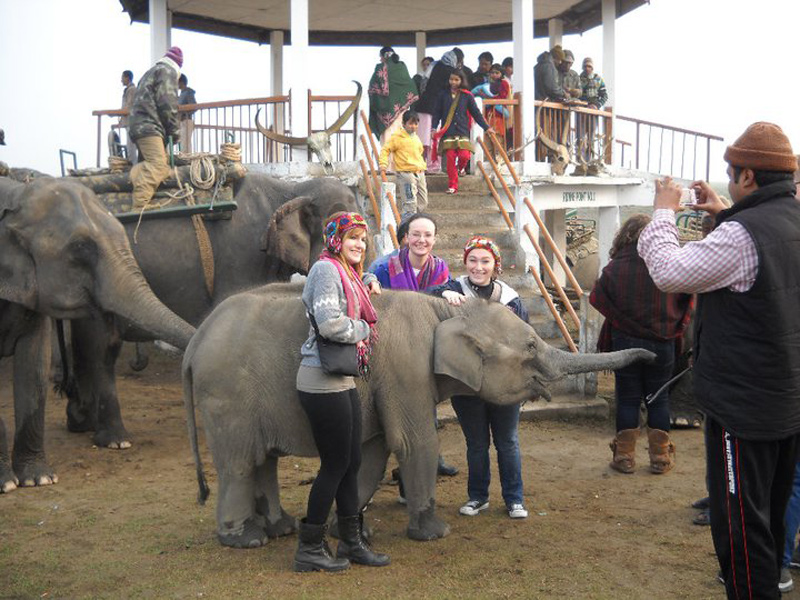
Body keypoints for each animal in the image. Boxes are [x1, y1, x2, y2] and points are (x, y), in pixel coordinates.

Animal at [183, 286, 656, 548]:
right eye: (531, 347)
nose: (652, 355)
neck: (446, 312)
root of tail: (194, 342)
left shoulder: (383, 383)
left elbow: (372, 455)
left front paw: (352, 534)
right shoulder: (405, 367)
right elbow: (416, 443)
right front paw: (435, 533)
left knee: (263, 460)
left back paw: (280, 529)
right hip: (226, 396)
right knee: (240, 463)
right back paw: (244, 539)